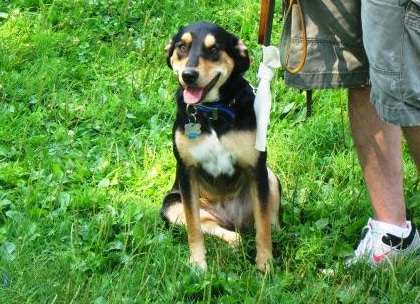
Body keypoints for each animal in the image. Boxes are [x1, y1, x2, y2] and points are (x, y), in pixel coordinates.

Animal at [162, 21, 280, 274]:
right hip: (171, 206)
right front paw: (198, 264)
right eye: (182, 46)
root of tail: (232, 218)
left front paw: (265, 264)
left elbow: (263, 226)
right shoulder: (187, 172)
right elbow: (194, 228)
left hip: (270, 177)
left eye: (214, 49)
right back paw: (234, 242)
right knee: (221, 230)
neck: (213, 111)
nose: (188, 75)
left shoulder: (257, 169)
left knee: (269, 221)